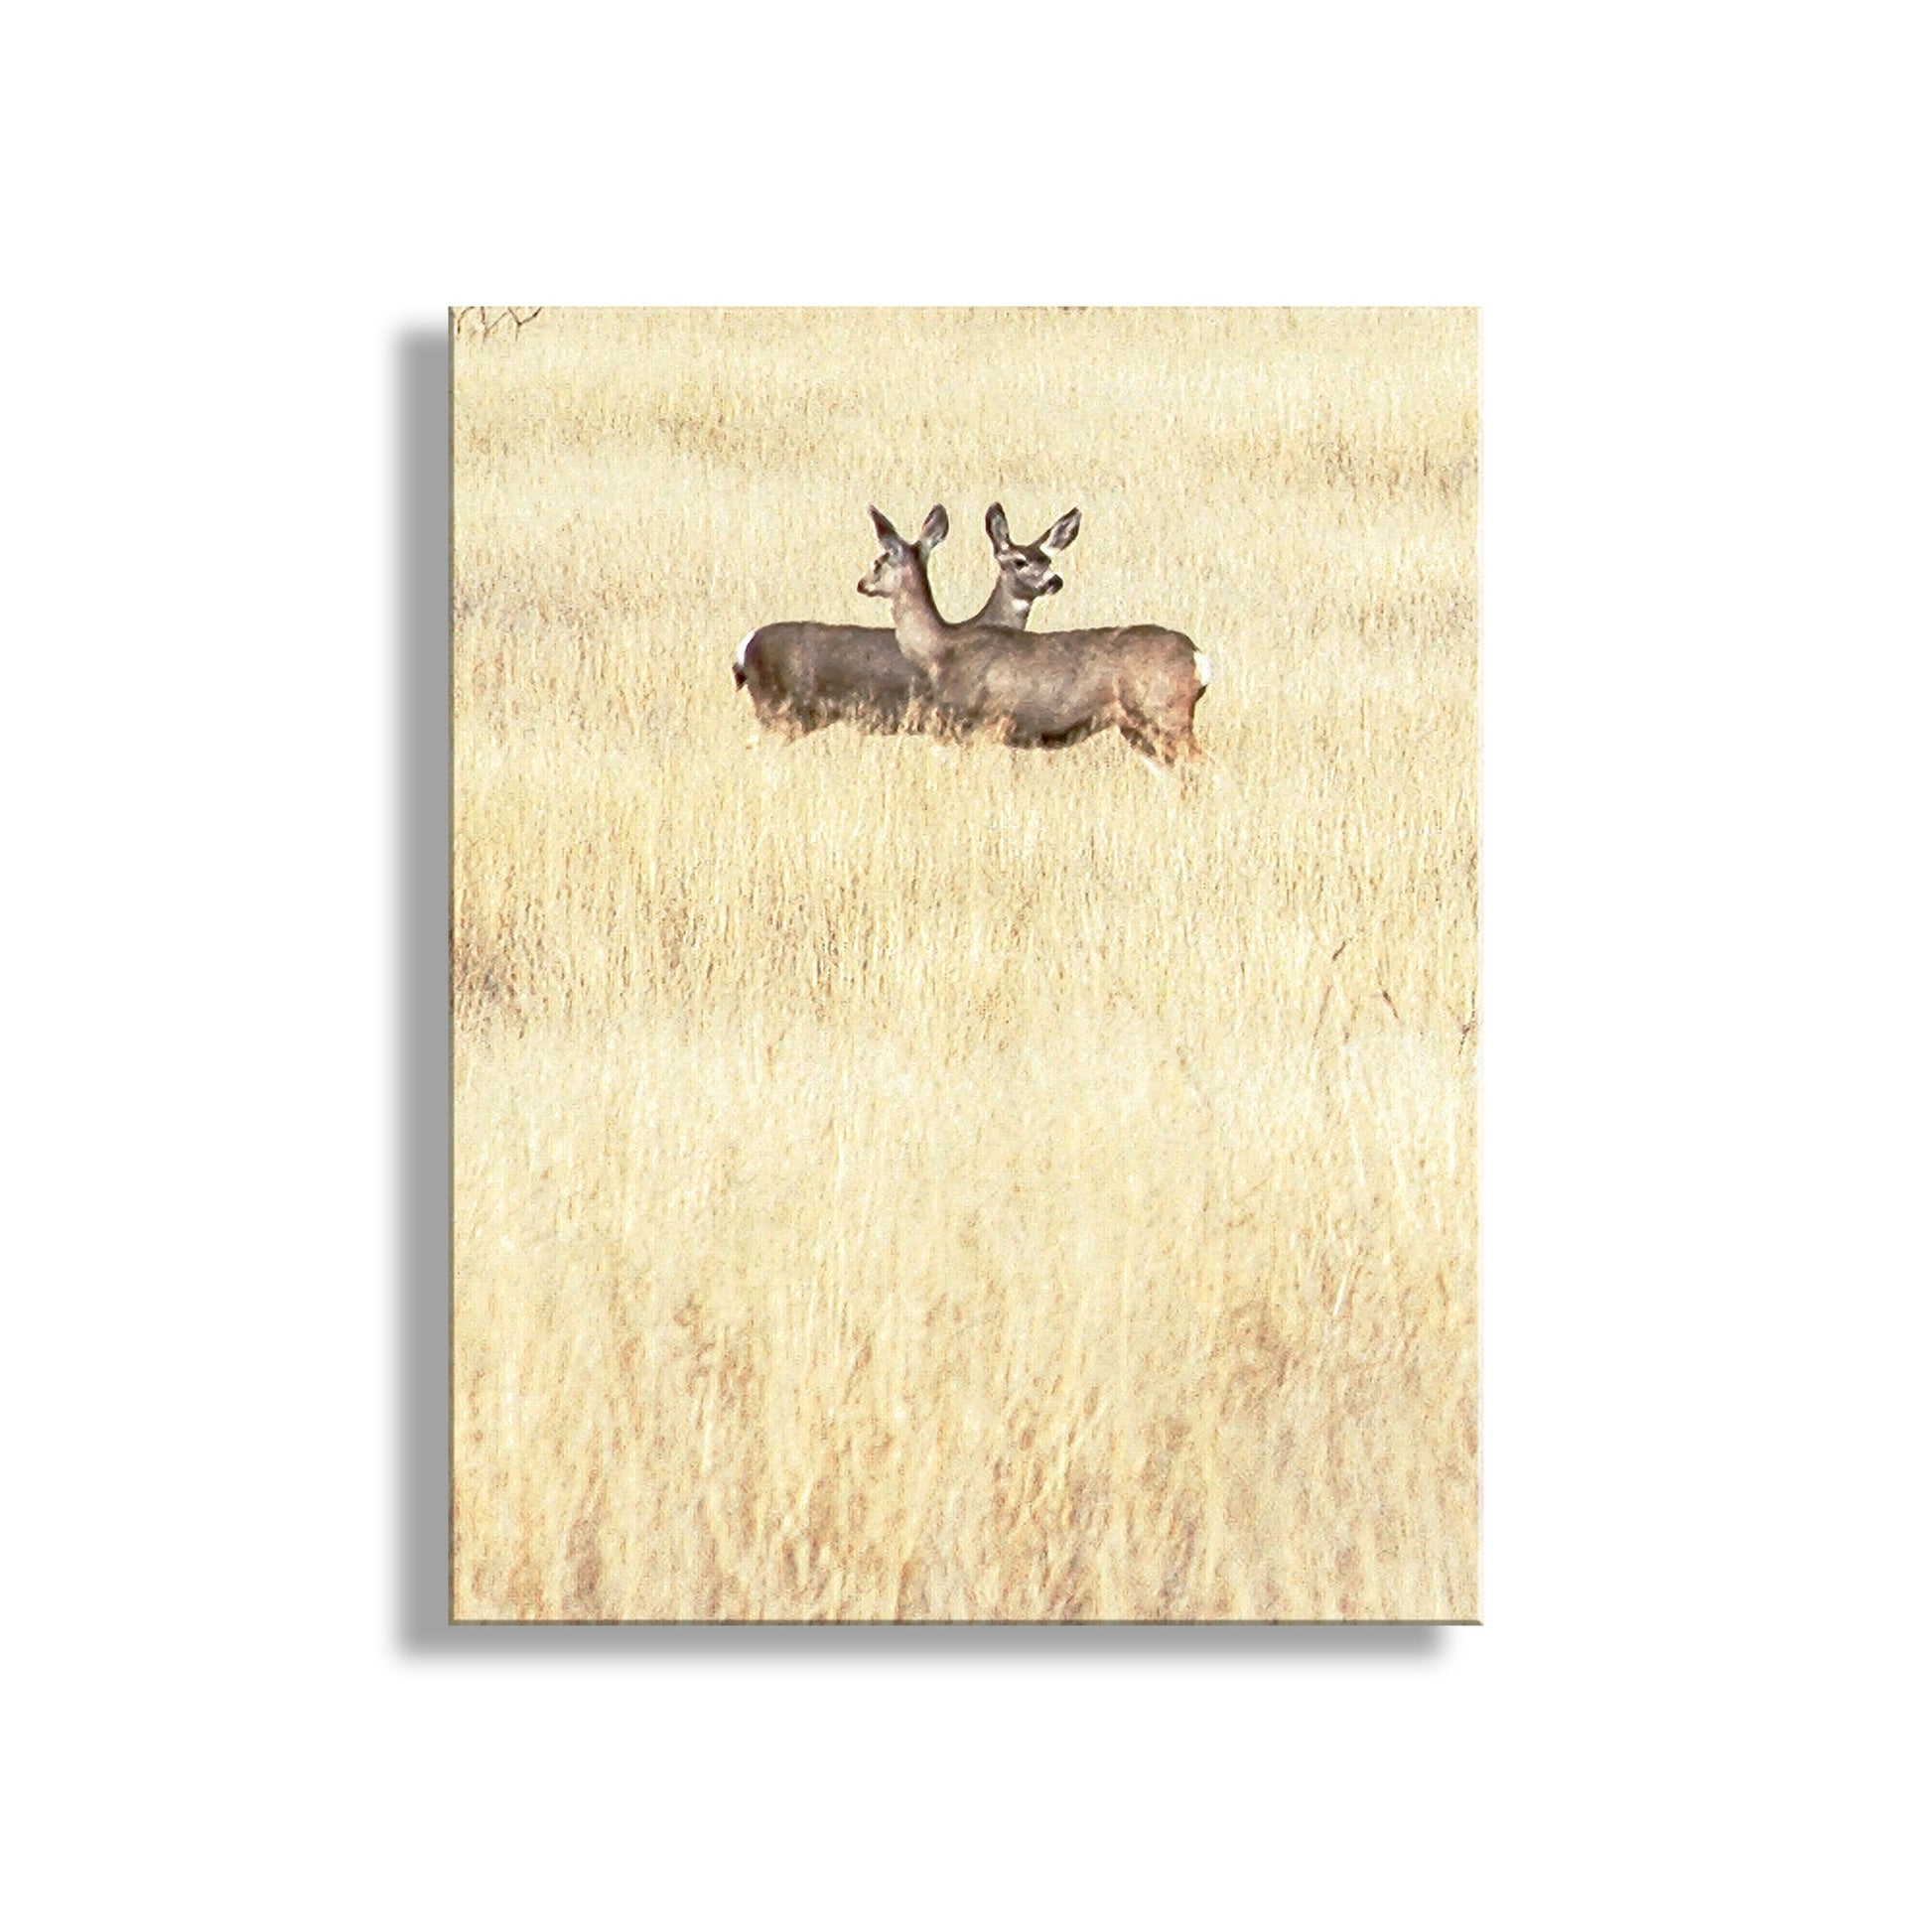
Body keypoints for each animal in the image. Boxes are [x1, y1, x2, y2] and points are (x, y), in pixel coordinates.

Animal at [856, 506, 1211, 767]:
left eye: (878, 561)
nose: (861, 584)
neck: (940, 649)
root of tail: (1199, 658)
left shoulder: (981, 724)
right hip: (1137, 727)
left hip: (1166, 713)